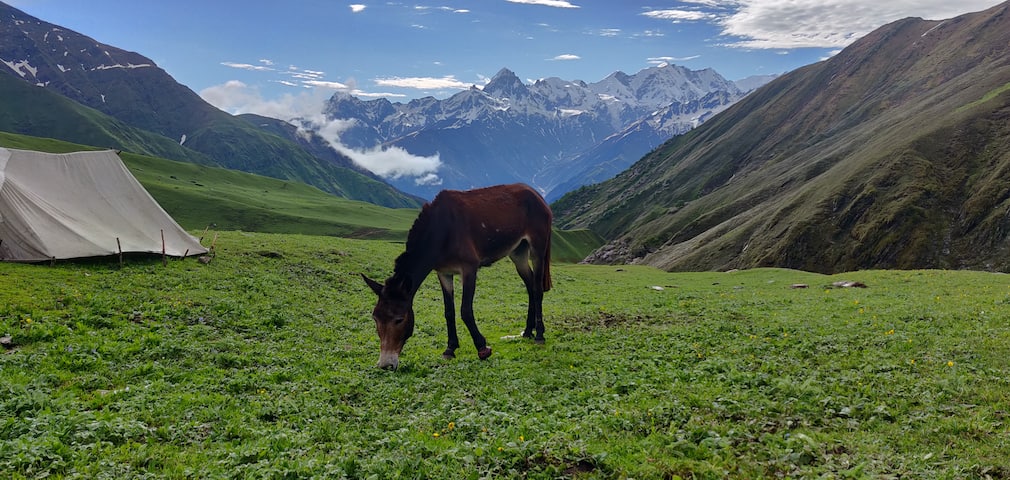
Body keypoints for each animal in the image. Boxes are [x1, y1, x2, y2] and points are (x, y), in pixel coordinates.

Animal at [362, 183, 553, 370]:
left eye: (399, 320)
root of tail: (537, 195)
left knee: (537, 289)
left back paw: (539, 335)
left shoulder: (469, 269)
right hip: (518, 252)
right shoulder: (444, 273)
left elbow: (465, 310)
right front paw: (450, 349)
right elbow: (449, 311)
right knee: (530, 285)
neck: (442, 231)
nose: (385, 365)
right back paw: (527, 332)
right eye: (375, 318)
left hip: (537, 247)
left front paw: (482, 348)